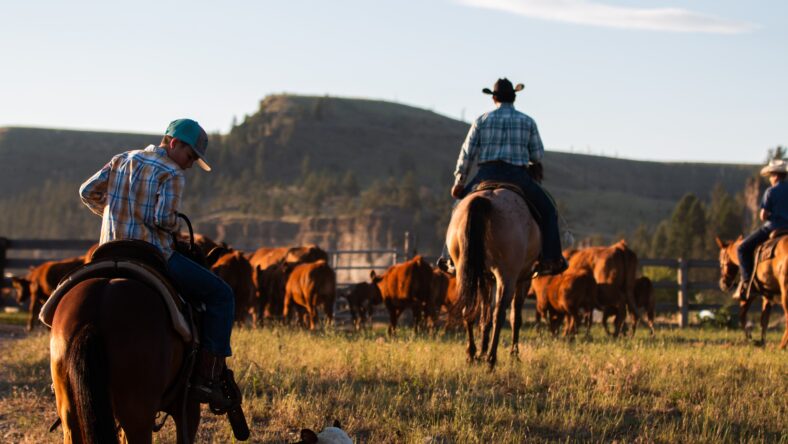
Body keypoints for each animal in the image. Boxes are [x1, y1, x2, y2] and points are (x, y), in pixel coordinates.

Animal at [446, 184, 540, 368]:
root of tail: (486, 199)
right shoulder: (523, 279)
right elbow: (515, 317)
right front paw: (514, 355)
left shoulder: (485, 278)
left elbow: (485, 316)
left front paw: (481, 352)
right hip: (507, 277)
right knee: (500, 314)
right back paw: (491, 359)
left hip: (464, 271)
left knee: (469, 309)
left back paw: (472, 354)